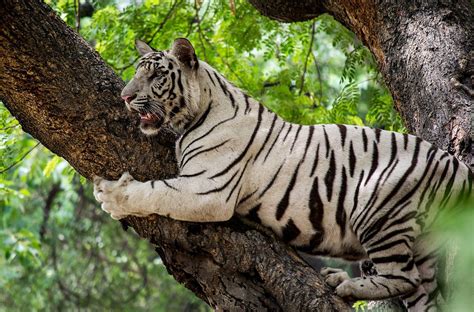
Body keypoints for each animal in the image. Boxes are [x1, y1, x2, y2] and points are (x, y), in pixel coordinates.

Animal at [94, 37, 472, 310]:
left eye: (156, 76)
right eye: (137, 73)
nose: (124, 97)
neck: (195, 114)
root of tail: (460, 168)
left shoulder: (208, 189)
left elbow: (155, 190)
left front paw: (110, 194)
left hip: (379, 208)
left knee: (403, 276)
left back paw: (345, 285)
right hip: (424, 245)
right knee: (424, 295)